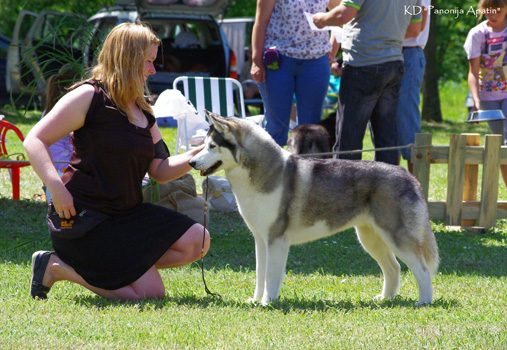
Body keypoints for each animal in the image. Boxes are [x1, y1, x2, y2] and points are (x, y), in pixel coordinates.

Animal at [190, 110, 440, 304]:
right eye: (202, 145)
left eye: (212, 146)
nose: (191, 162)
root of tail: (409, 176)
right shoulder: (261, 240)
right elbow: (260, 274)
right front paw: (255, 300)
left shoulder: (276, 239)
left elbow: (271, 275)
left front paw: (267, 302)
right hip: (370, 238)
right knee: (394, 268)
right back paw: (385, 298)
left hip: (397, 237)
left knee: (423, 270)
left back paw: (424, 302)